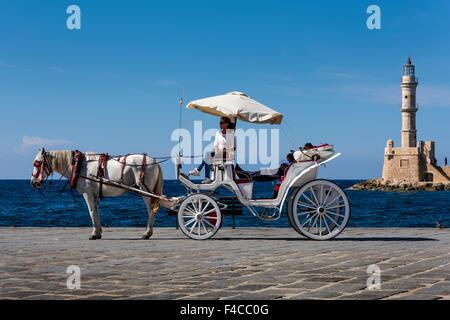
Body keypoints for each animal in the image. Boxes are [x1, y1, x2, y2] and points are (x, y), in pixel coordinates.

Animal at [30, 149, 167, 239]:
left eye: (37, 163)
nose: (33, 182)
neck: (79, 165)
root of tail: (154, 161)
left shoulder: (87, 194)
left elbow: (91, 212)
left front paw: (94, 234)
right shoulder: (94, 195)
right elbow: (96, 212)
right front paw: (98, 232)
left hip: (146, 191)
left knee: (151, 210)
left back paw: (147, 233)